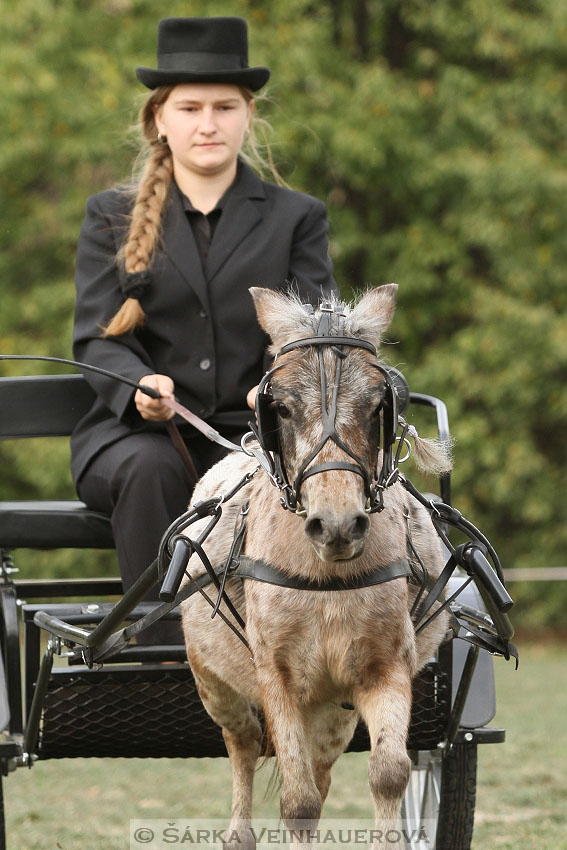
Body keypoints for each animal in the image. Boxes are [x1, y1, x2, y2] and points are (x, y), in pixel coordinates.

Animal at [180, 284, 450, 840]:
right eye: (280, 408)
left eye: (379, 405)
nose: (338, 524)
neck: (327, 583)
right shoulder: (278, 679)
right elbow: (297, 800)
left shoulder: (384, 668)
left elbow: (389, 774)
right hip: (214, 683)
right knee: (243, 745)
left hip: (331, 711)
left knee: (321, 775)